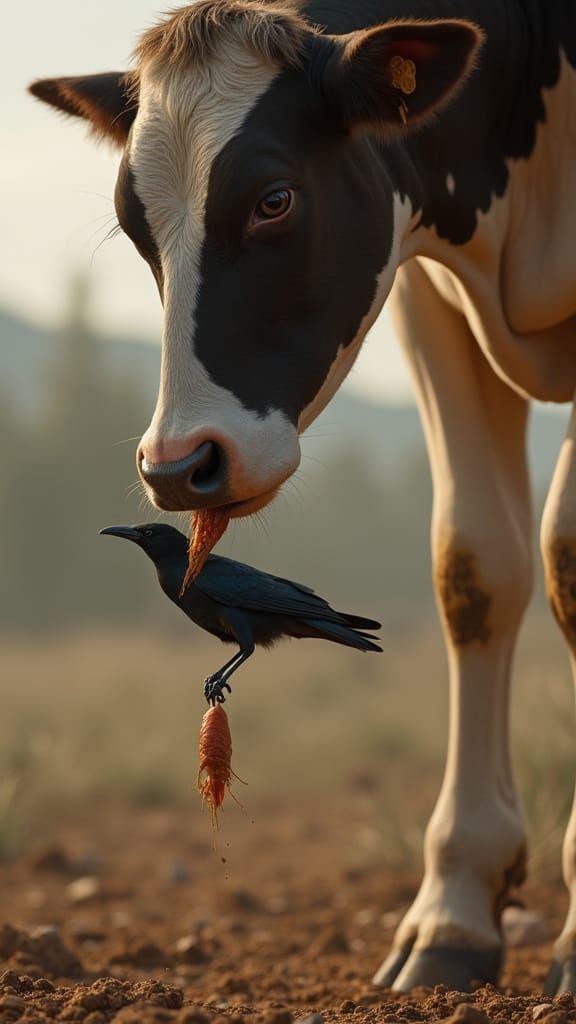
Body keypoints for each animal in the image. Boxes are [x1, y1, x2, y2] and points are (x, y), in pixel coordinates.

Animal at [30, 0, 576, 996]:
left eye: (274, 199)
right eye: (133, 222)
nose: (179, 468)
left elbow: (567, 557)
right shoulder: (423, 291)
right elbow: (475, 565)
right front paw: (451, 913)